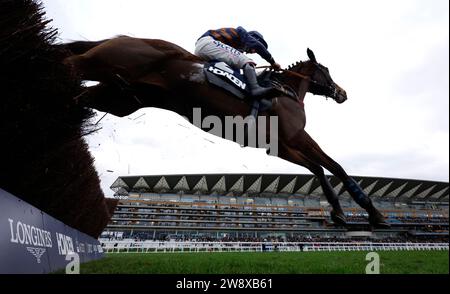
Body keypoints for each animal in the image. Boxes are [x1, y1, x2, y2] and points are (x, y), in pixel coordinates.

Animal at [61, 35, 388, 227]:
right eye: (326, 70)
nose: (342, 93)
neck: (286, 91)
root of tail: (125, 36)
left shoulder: (281, 145)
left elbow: (322, 169)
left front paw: (345, 212)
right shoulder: (295, 138)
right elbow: (332, 167)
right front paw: (366, 212)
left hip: (119, 98)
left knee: (76, 95)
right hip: (97, 65)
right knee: (65, 63)